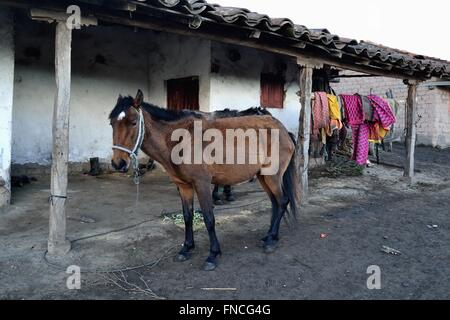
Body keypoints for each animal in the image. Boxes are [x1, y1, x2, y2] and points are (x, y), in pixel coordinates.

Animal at [109, 89, 300, 270]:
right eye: (112, 123)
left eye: (134, 122)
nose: (118, 163)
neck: (181, 140)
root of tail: (283, 130)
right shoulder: (184, 186)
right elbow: (187, 216)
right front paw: (186, 249)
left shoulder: (202, 184)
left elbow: (209, 218)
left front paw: (212, 255)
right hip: (263, 176)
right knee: (275, 203)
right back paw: (269, 236)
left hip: (272, 176)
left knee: (282, 201)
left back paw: (271, 241)